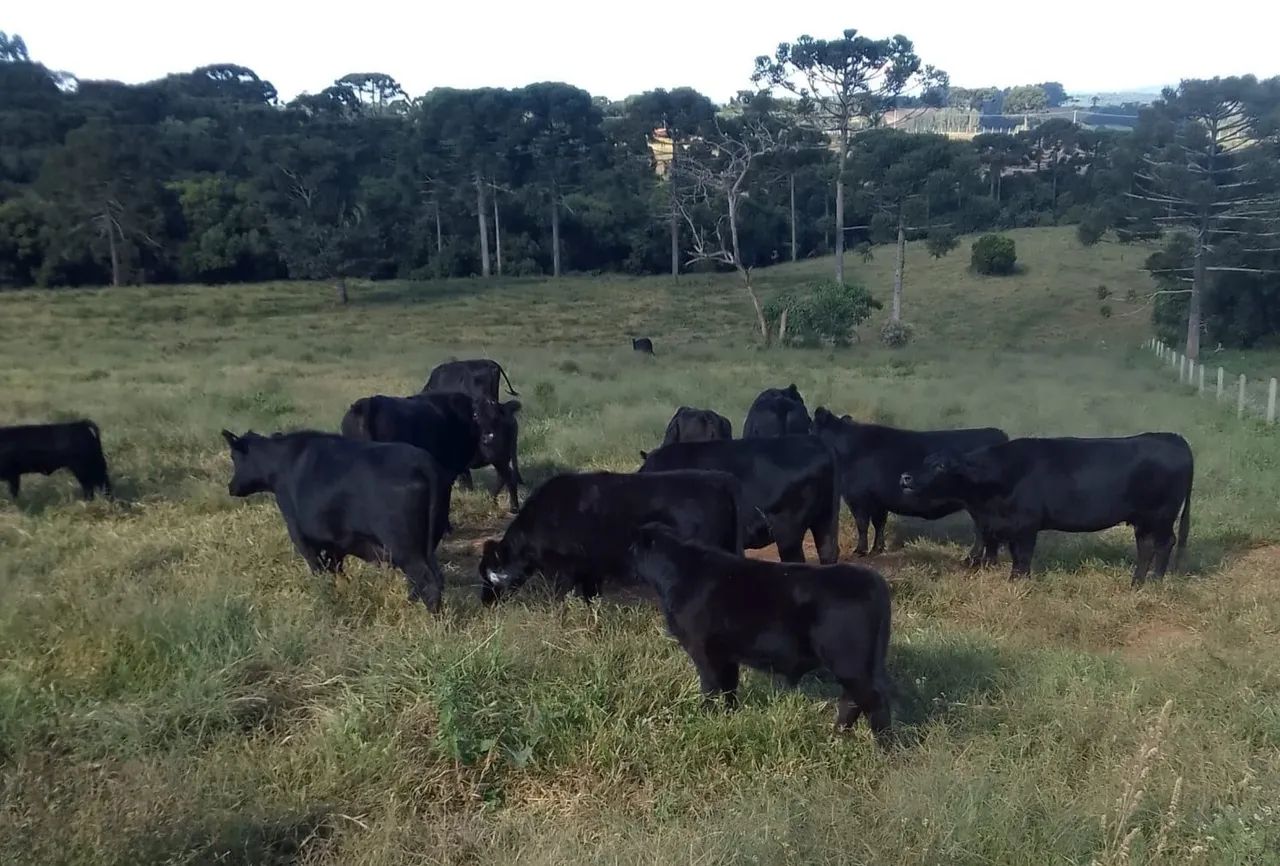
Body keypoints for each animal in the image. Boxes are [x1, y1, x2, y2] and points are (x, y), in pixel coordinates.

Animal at [221, 430, 452, 610]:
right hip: (426, 544)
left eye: (233, 457)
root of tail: (425, 463)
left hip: (405, 547)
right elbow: (337, 570)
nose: (231, 487)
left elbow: (319, 570)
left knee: (427, 582)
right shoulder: (336, 543)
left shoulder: (301, 535)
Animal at [341, 392, 521, 513]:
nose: (489, 438)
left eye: (495, 417)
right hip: (499, 458)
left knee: (507, 477)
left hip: (500, 457)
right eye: (475, 415)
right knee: (505, 477)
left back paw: (512, 507)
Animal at [630, 522, 893, 742]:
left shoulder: (703, 651)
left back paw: (884, 748)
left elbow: (710, 688)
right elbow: (729, 687)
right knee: (852, 701)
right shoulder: (727, 654)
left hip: (850, 663)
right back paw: (837, 736)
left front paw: (705, 717)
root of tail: (873, 579)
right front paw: (729, 716)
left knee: (873, 700)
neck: (682, 573)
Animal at [812, 407, 1010, 562]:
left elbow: (862, 525)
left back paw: (972, 558)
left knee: (982, 530)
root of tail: (997, 433)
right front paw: (877, 549)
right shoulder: (878, 502)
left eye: (810, 427)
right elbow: (879, 524)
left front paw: (860, 551)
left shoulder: (857, 498)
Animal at [899, 433, 1194, 585]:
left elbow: (1023, 557)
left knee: (1164, 543)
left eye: (941, 466)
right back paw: (1136, 583)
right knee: (1145, 546)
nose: (906, 477)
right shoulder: (1004, 525)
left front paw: (1017, 582)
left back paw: (1154, 582)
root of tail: (1174, 438)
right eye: (925, 461)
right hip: (1143, 518)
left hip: (1162, 515)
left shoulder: (1026, 525)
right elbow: (1012, 554)